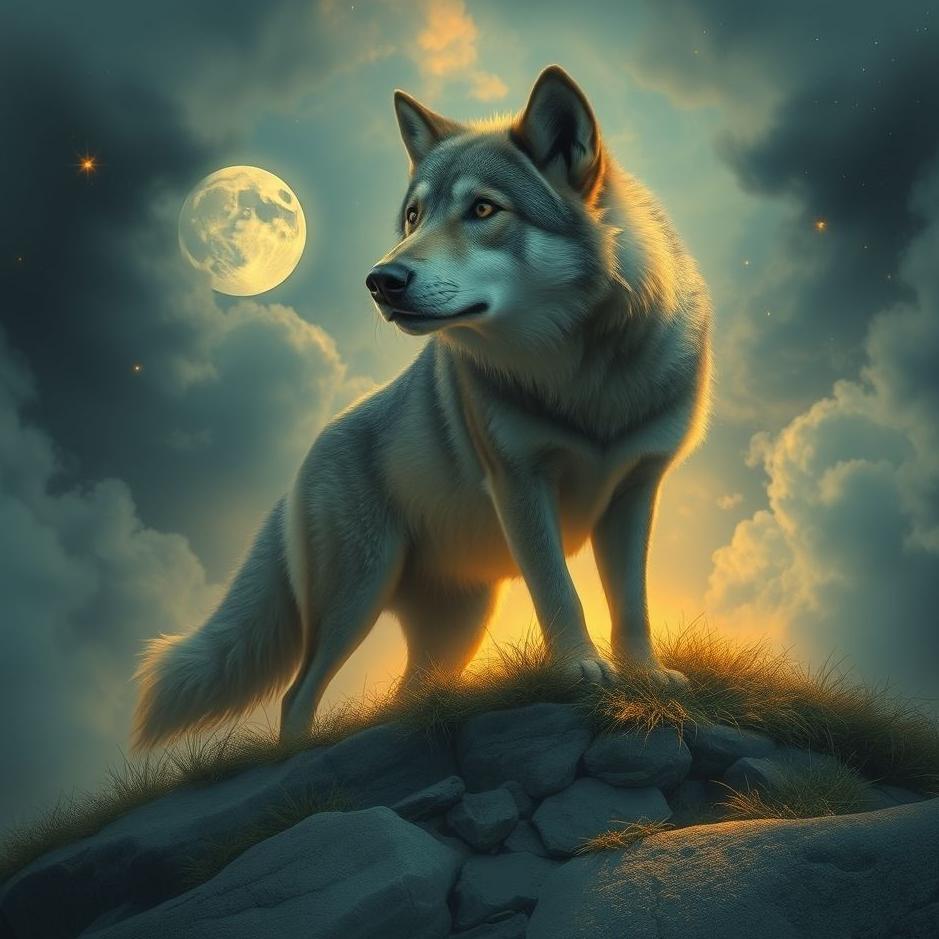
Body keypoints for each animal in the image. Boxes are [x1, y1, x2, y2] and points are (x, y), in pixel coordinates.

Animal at [133, 66, 712, 748]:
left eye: (483, 208)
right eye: (413, 215)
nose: (380, 281)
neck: (588, 378)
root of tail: (298, 472)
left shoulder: (635, 492)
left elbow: (631, 604)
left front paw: (644, 676)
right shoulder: (520, 484)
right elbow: (559, 591)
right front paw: (579, 671)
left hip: (455, 625)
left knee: (405, 696)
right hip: (357, 597)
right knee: (298, 694)